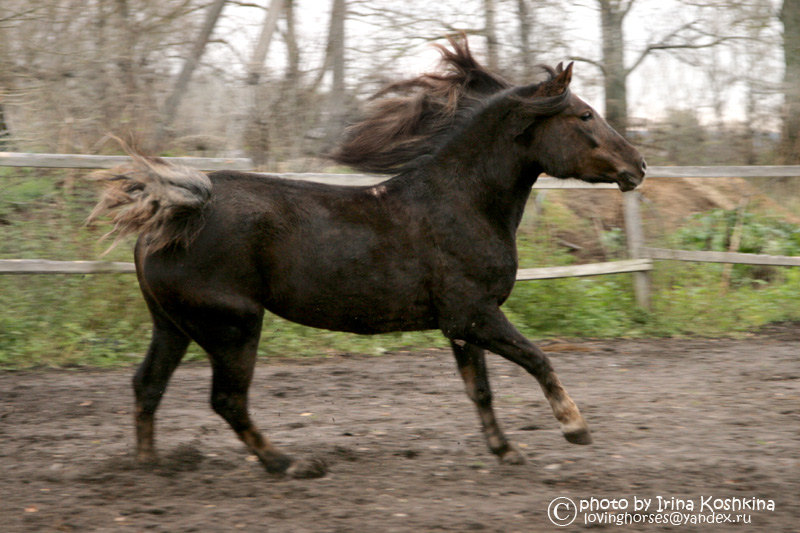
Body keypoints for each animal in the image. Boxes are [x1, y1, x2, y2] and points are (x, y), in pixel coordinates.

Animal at [90, 37, 648, 478]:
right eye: (584, 115)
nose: (638, 166)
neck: (462, 202)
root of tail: (175, 213)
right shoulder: (475, 314)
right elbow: (538, 358)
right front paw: (575, 427)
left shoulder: (461, 326)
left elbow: (481, 391)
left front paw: (507, 452)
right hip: (234, 326)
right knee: (226, 401)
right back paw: (291, 464)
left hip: (174, 325)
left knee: (148, 386)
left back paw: (151, 466)